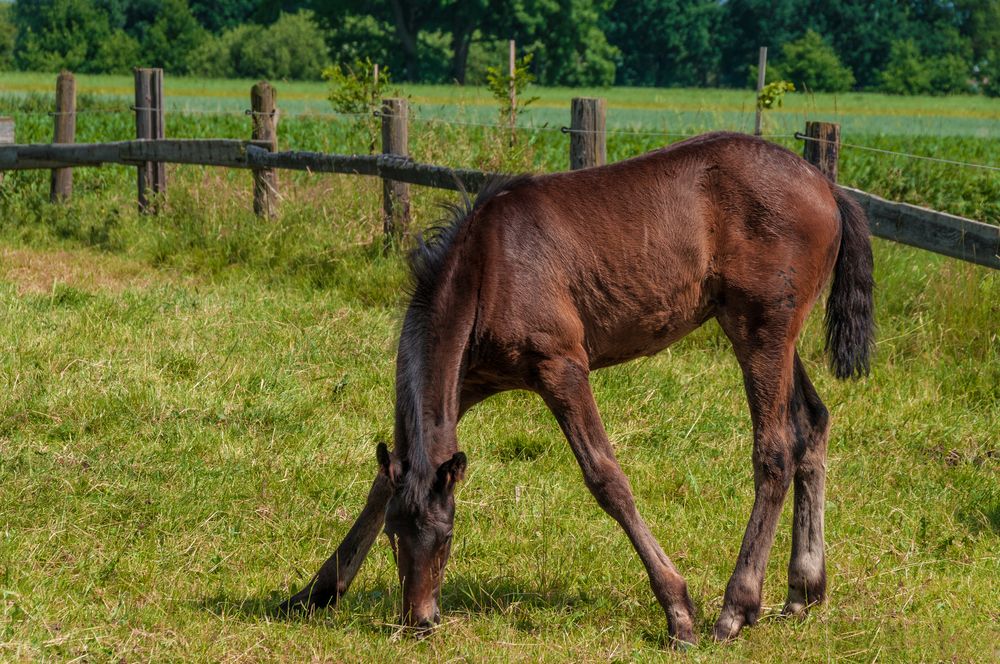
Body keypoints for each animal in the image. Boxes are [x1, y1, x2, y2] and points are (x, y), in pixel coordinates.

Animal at [280, 132, 876, 644]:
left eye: (447, 536)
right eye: (394, 536)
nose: (420, 619)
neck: (487, 268)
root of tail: (828, 188)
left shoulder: (562, 367)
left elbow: (606, 477)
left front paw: (677, 610)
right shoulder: (468, 383)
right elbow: (382, 485)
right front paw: (312, 594)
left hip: (760, 332)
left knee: (774, 451)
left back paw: (735, 609)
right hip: (776, 336)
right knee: (812, 425)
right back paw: (803, 591)